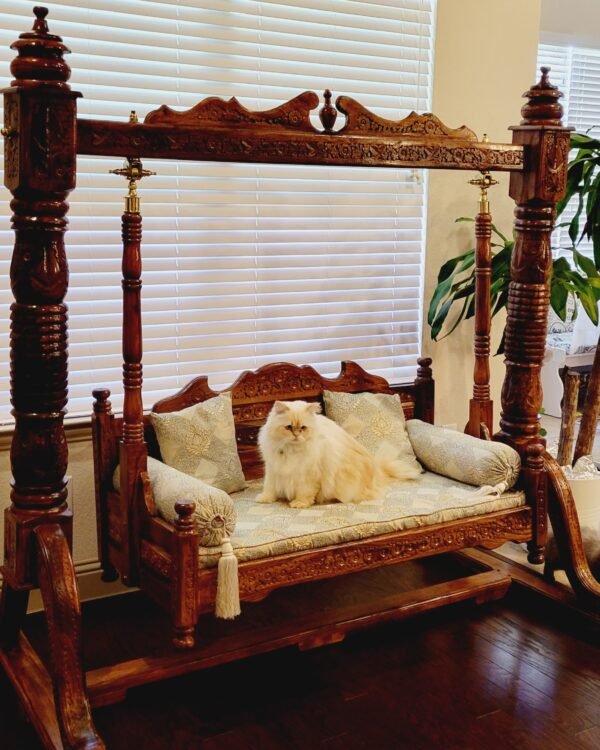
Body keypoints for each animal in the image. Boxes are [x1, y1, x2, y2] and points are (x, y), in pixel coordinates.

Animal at [255, 400, 420, 512]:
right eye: (289, 427)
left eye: (303, 428)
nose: (296, 435)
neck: (291, 451)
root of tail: (377, 473)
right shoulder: (273, 469)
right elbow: (269, 488)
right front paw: (265, 499)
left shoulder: (308, 475)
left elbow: (304, 493)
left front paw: (300, 503)